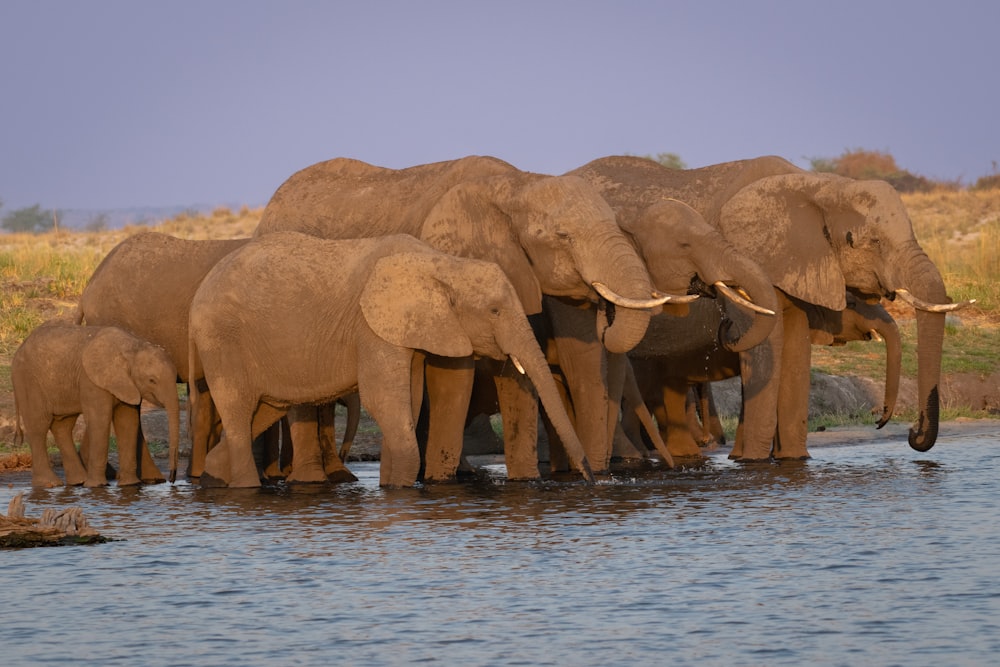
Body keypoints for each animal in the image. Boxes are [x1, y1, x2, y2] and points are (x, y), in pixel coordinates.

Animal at [12, 320, 182, 488]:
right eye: (152, 380)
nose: (172, 479)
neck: (132, 347)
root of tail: (20, 348)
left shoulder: (127, 384)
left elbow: (127, 422)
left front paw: (129, 485)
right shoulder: (91, 380)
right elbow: (100, 421)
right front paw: (96, 486)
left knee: (63, 426)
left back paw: (78, 481)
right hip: (28, 380)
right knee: (38, 426)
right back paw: (50, 483)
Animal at [188, 232, 592, 488]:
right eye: (494, 310)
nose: (589, 477)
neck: (442, 263)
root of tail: (198, 294)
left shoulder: (404, 333)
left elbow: (408, 402)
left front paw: (391, 486)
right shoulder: (372, 328)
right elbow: (384, 401)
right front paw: (399, 491)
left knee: (263, 410)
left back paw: (212, 479)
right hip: (221, 340)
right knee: (239, 411)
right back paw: (244, 489)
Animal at [252, 157, 680, 480]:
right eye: (562, 235)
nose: (595, 477)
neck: (515, 185)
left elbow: (532, 369)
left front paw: (527, 481)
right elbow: (452, 374)